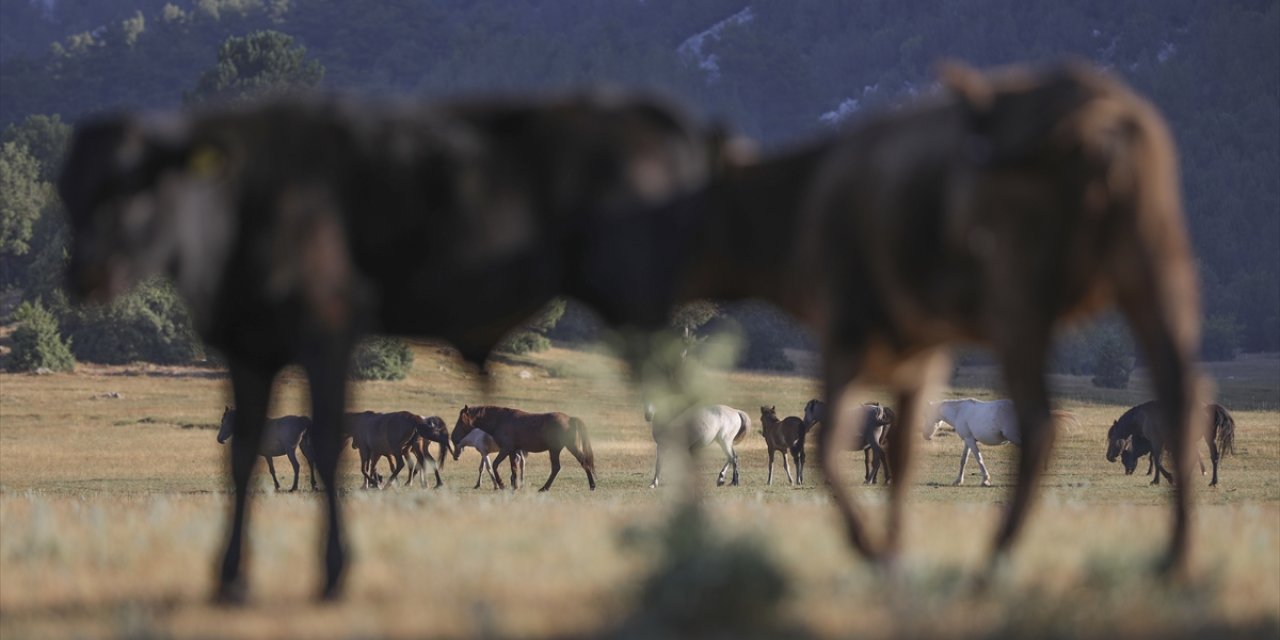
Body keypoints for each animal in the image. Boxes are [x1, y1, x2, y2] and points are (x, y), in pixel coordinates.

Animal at [450, 407, 593, 491]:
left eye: (461, 421)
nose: (453, 437)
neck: (501, 420)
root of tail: (570, 419)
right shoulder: (512, 451)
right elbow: (513, 468)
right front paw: (514, 486)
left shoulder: (505, 449)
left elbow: (495, 465)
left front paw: (502, 484)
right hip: (557, 450)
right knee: (560, 467)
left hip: (562, 448)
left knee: (578, 463)